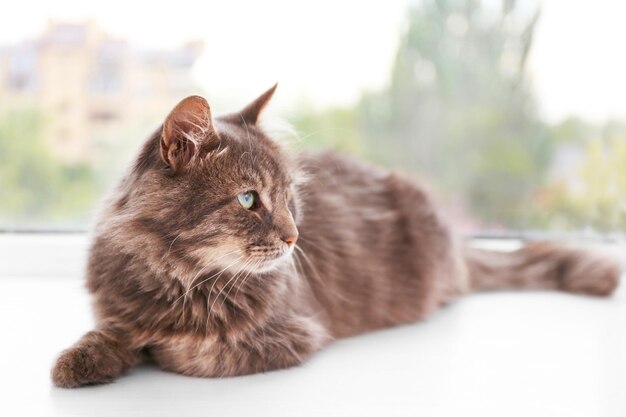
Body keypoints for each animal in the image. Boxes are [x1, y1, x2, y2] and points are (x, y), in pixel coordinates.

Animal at [52, 83, 620, 386]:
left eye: (289, 197)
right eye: (248, 200)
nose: (293, 238)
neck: (180, 279)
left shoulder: (296, 332)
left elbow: (190, 351)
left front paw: (156, 347)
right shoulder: (116, 306)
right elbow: (109, 332)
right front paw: (80, 362)